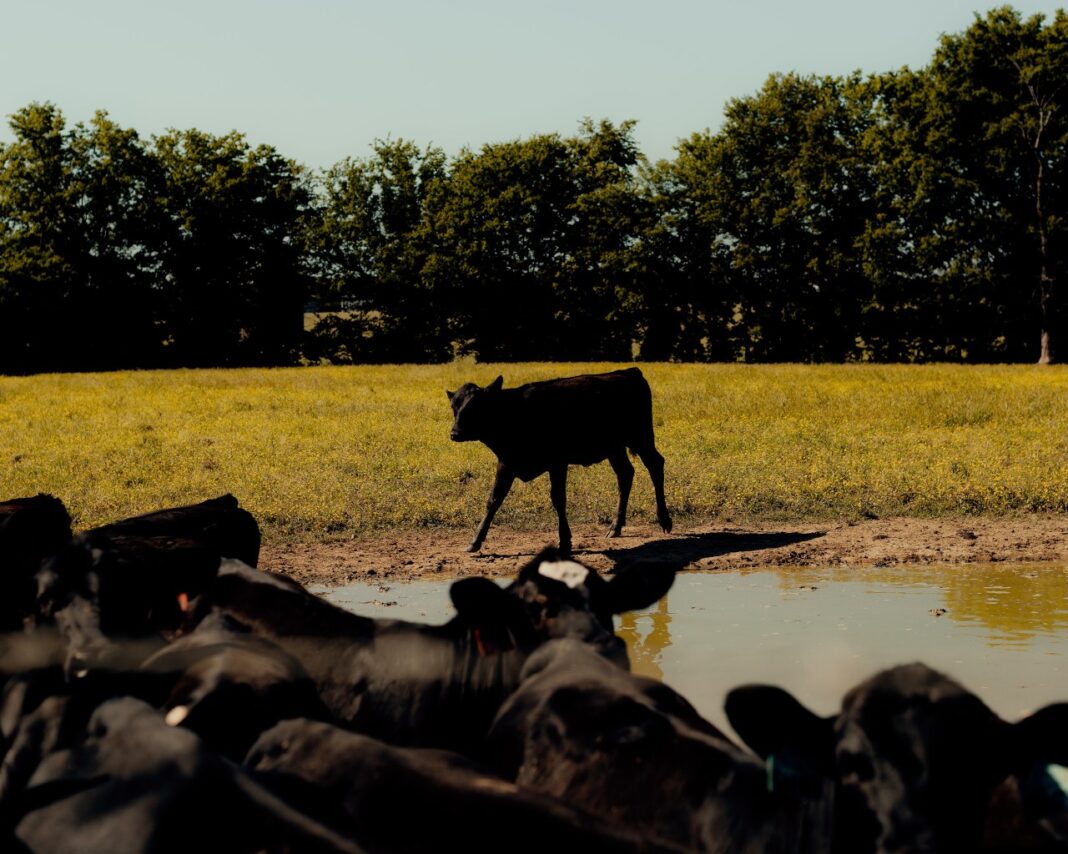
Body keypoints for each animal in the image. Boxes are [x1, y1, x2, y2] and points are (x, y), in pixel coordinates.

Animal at [446, 368, 672, 554]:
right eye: (454, 406)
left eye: (476, 406)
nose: (455, 433)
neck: (516, 414)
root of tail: (628, 372)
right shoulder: (506, 463)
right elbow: (493, 500)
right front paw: (475, 540)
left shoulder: (558, 463)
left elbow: (558, 499)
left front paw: (565, 540)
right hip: (615, 448)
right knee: (625, 475)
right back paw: (615, 527)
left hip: (641, 437)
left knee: (655, 465)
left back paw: (664, 519)